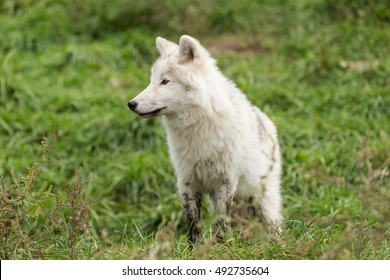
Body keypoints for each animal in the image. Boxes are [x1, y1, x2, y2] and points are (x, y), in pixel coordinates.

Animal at [129, 34, 282, 241]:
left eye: (165, 81)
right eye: (152, 80)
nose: (131, 104)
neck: (197, 130)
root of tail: (266, 120)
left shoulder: (225, 182)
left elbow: (221, 222)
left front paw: (219, 244)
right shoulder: (187, 182)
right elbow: (193, 224)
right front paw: (195, 247)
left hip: (262, 202)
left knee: (275, 226)